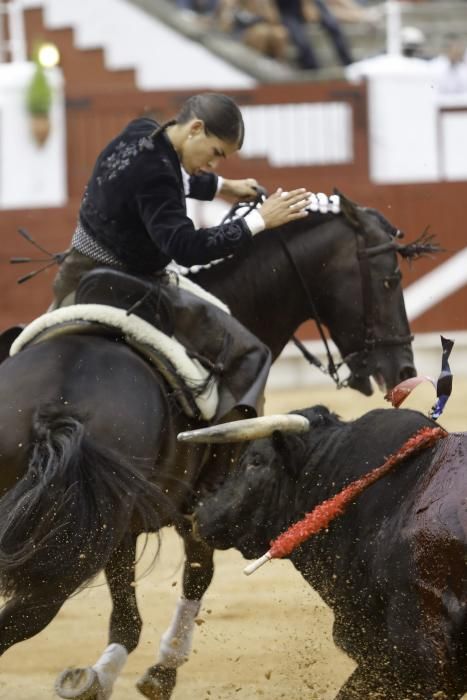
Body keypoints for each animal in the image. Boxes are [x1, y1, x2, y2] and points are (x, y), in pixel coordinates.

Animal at [0, 194, 424, 696]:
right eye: (390, 278)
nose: (403, 371)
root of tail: (57, 407)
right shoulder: (200, 500)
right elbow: (195, 576)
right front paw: (158, 673)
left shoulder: (133, 526)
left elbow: (131, 614)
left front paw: (102, 679)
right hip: (67, 557)